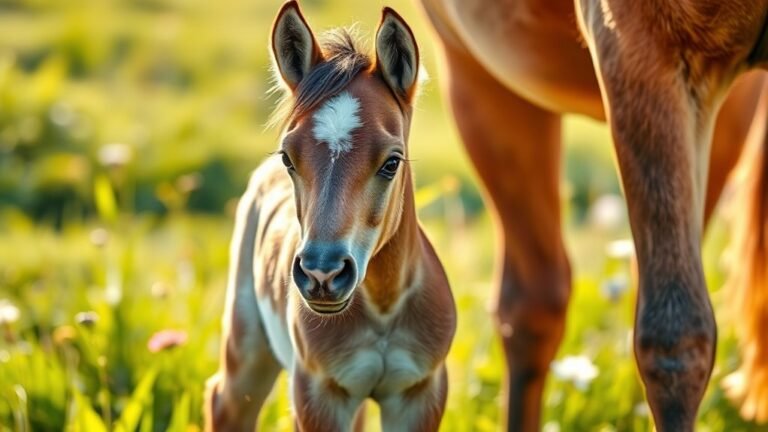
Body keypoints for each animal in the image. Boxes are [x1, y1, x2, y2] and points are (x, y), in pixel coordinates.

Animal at [204, 3, 456, 431]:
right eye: (288, 157)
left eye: (392, 162)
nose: (322, 274)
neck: (384, 308)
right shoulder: (318, 394)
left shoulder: (419, 393)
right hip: (247, 346)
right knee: (225, 400)